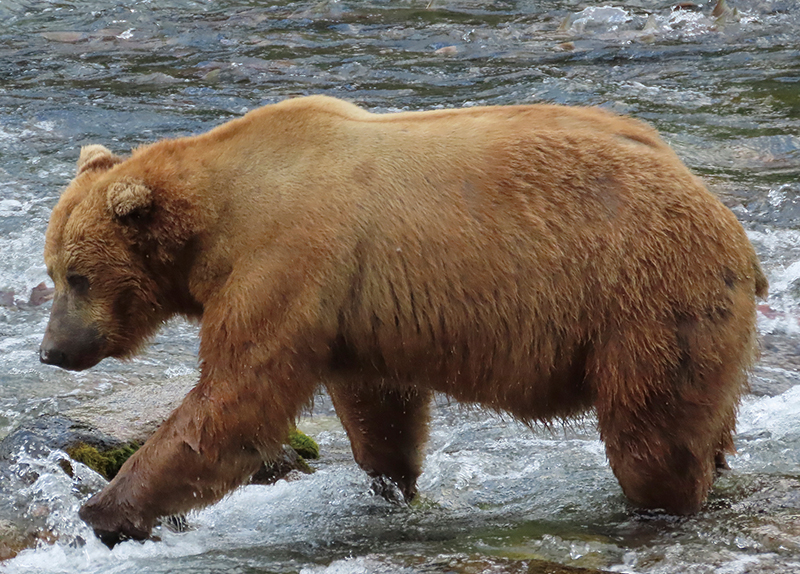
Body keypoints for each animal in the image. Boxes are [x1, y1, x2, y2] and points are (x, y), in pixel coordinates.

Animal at [39, 95, 767, 546]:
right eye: (51, 270)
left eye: (77, 276)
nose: (51, 351)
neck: (217, 223)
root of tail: (728, 221)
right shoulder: (350, 313)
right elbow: (379, 409)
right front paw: (391, 487)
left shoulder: (285, 261)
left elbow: (234, 400)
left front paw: (104, 510)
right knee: (704, 425)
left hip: (646, 298)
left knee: (651, 439)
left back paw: (660, 511)